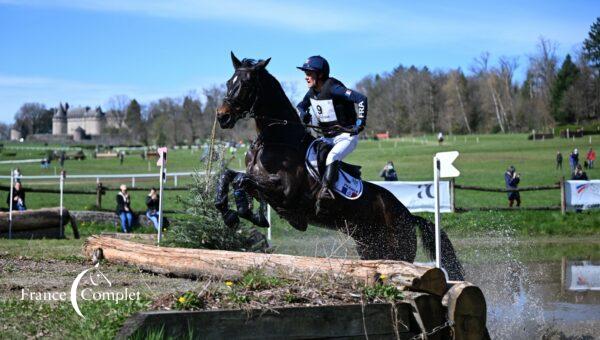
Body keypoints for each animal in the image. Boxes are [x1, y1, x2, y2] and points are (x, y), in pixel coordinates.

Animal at [214, 53, 464, 280]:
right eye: (228, 82)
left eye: (246, 84)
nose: (222, 117)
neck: (276, 138)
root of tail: (409, 215)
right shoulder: (261, 184)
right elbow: (229, 176)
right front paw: (232, 213)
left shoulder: (284, 192)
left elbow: (241, 180)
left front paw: (242, 212)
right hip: (370, 247)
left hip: (399, 249)